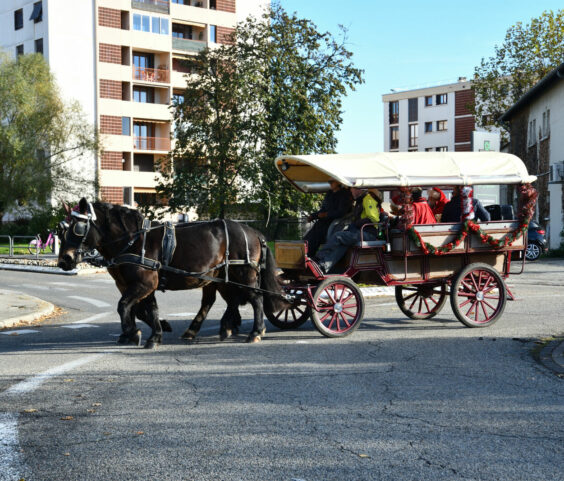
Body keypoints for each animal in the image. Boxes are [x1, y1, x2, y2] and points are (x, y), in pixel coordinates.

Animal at [57, 197, 290, 346]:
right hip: (221, 277)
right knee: (223, 301)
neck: (133, 240)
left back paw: (255, 332)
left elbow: (125, 306)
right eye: (62, 229)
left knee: (256, 299)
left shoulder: (144, 284)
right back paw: (215, 329)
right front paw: (154, 333)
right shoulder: (140, 285)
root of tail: (251, 231)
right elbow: (146, 309)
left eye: (78, 227)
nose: (64, 260)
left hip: (243, 274)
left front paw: (134, 333)